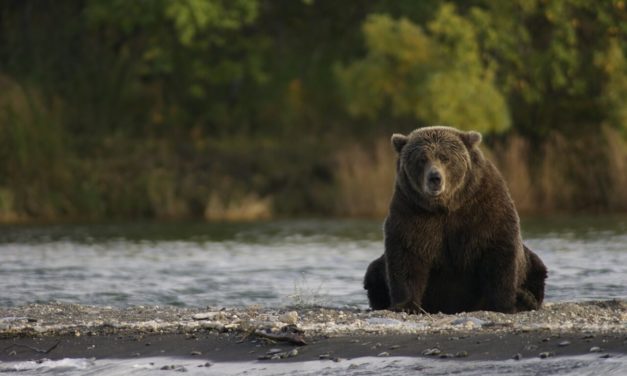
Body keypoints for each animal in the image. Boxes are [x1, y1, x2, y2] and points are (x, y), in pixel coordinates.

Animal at [366, 126, 548, 314]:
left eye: (445, 157)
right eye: (422, 159)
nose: (435, 178)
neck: (446, 205)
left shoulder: (484, 207)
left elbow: (498, 252)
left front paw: (504, 304)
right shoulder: (411, 210)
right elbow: (407, 254)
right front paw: (406, 305)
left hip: (530, 264)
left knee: (537, 269)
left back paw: (525, 298)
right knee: (374, 272)